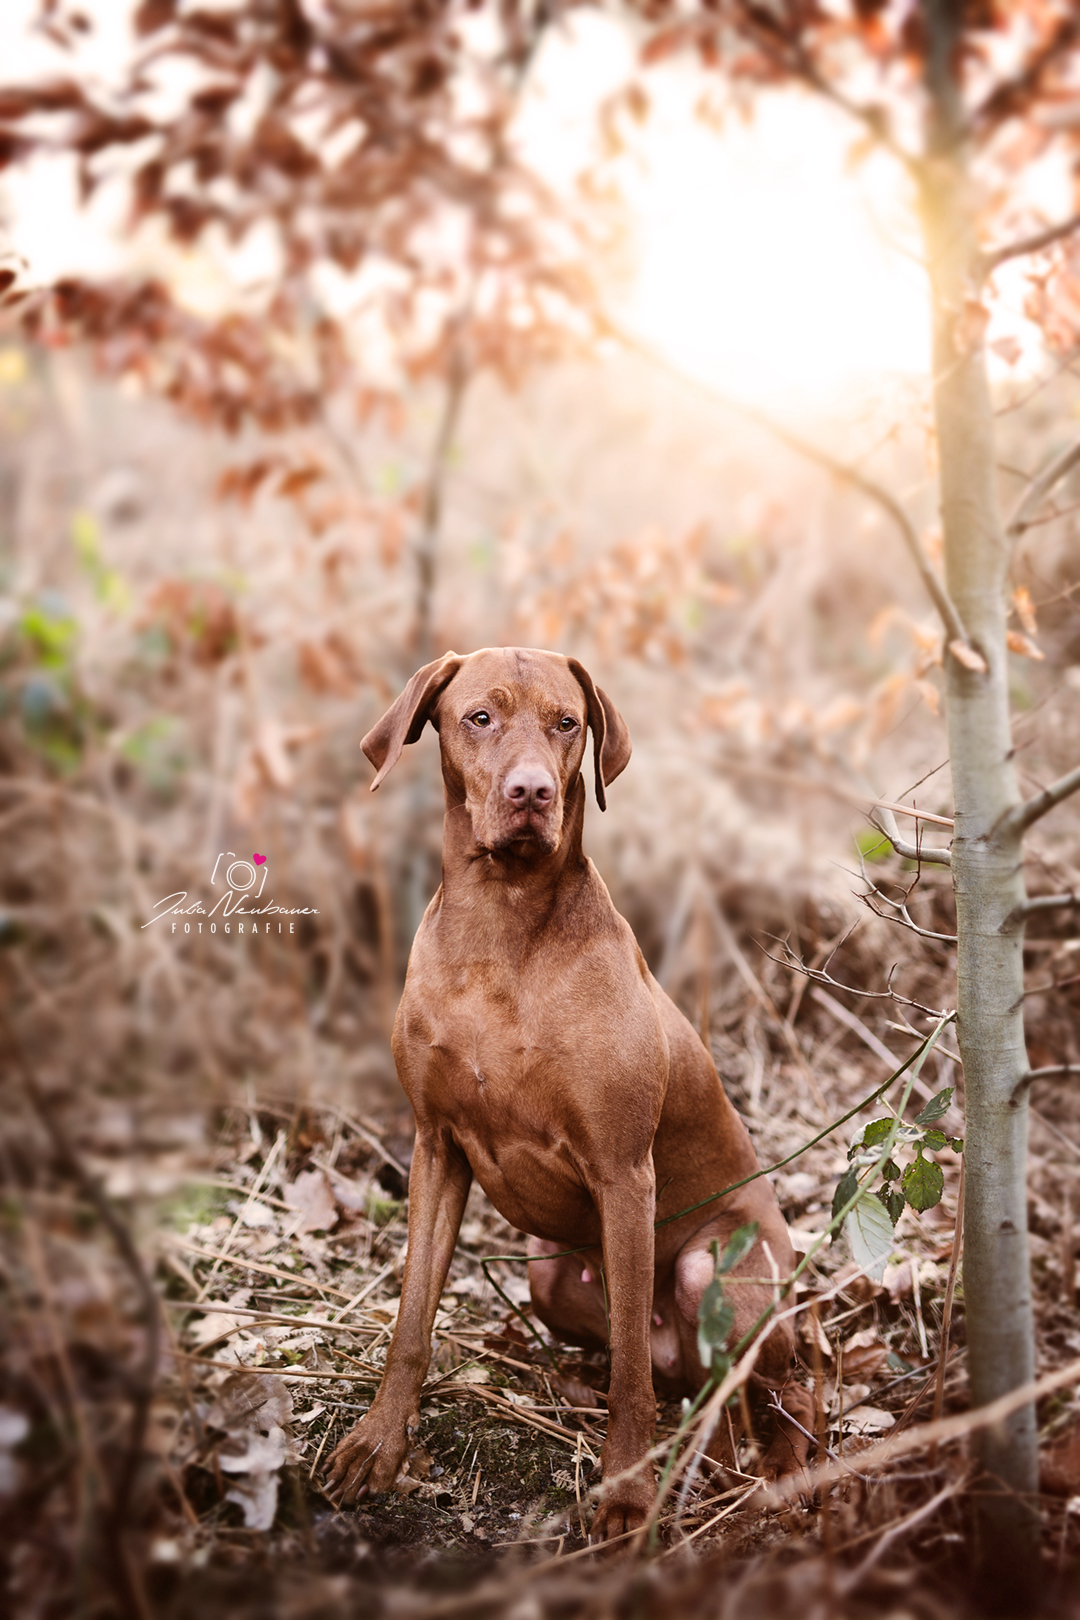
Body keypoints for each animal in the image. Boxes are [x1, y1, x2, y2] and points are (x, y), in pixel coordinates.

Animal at [327, 644, 809, 1529]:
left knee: (768, 1383)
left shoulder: (623, 1173)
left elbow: (631, 1375)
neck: (500, 928)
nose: (531, 794)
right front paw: (378, 1443)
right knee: (675, 1376)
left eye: (567, 724)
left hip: (716, 1270)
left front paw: (625, 1491)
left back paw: (774, 1465)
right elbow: (411, 1322)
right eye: (479, 717)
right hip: (547, 1277)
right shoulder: (435, 1147)